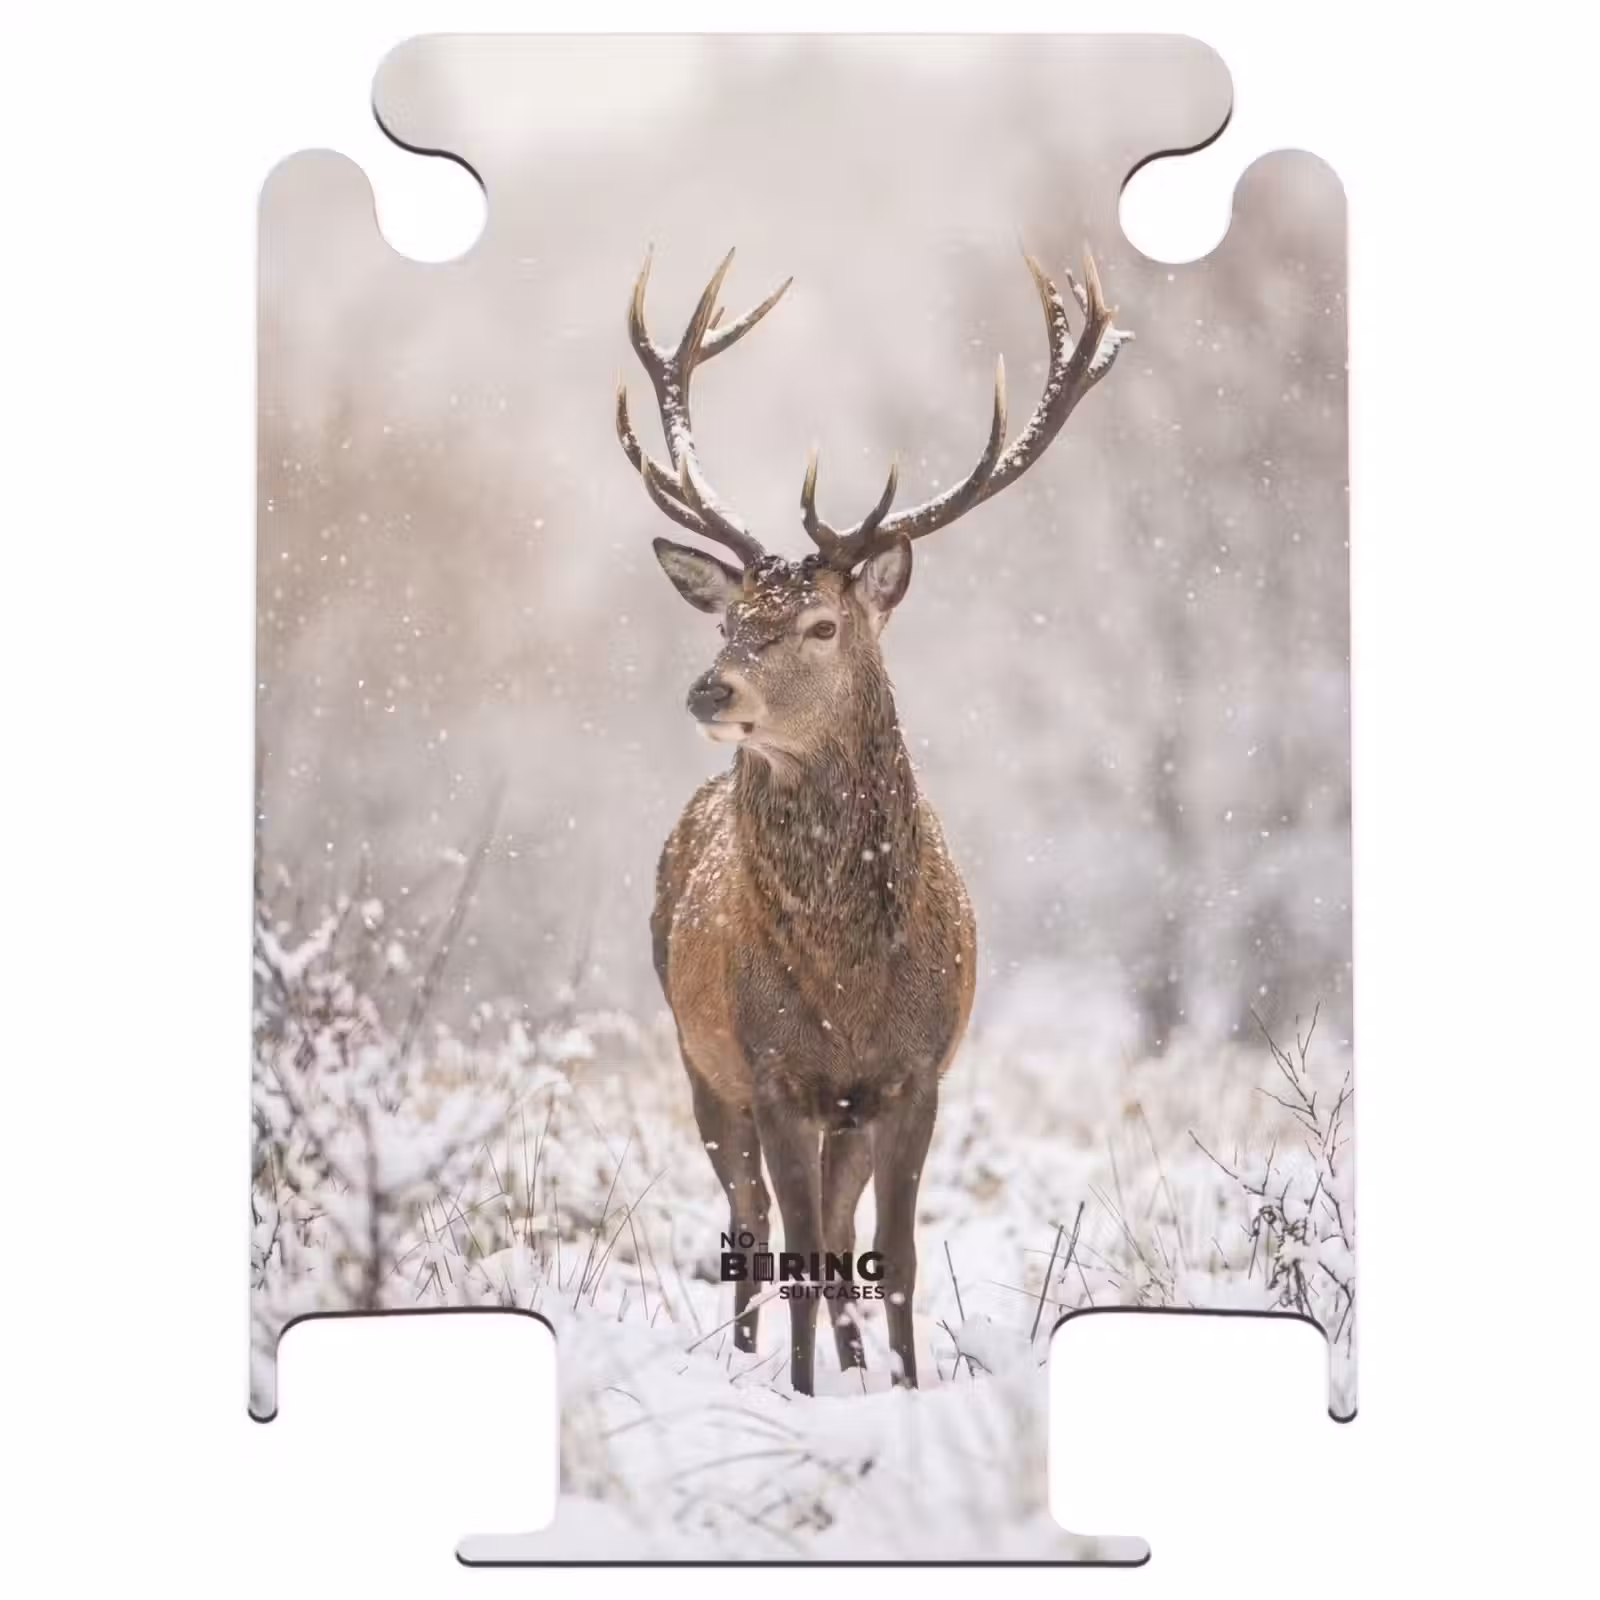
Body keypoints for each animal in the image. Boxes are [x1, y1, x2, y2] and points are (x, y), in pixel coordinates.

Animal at [617, 243, 1129, 1395]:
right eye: (728, 617)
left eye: (820, 622)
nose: (709, 689)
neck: (848, 982)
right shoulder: (771, 1071)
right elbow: (804, 1251)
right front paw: (806, 1399)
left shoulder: (915, 1073)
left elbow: (889, 1256)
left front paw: (898, 1387)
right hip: (698, 1061)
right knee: (753, 1229)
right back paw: (752, 1363)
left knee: (836, 1236)